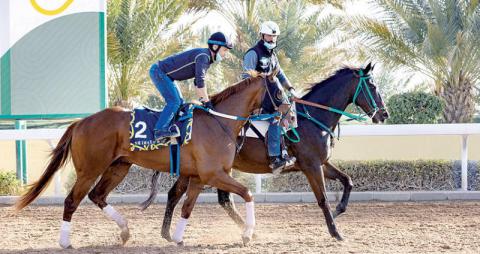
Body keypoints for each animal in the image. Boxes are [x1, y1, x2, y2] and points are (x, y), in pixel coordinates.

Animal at [14, 73, 270, 248]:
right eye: (277, 88)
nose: (281, 112)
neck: (218, 122)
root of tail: (81, 122)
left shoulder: (201, 175)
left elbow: (187, 207)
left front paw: (177, 237)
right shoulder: (213, 174)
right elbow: (247, 193)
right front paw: (248, 234)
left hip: (118, 167)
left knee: (97, 195)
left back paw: (125, 230)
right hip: (90, 169)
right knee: (72, 201)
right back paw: (65, 242)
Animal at [142, 63, 390, 242]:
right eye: (373, 86)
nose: (384, 114)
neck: (311, 120)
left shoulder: (320, 163)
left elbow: (348, 181)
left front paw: (339, 211)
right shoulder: (311, 165)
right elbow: (322, 199)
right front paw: (336, 232)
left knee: (190, 196)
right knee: (195, 196)